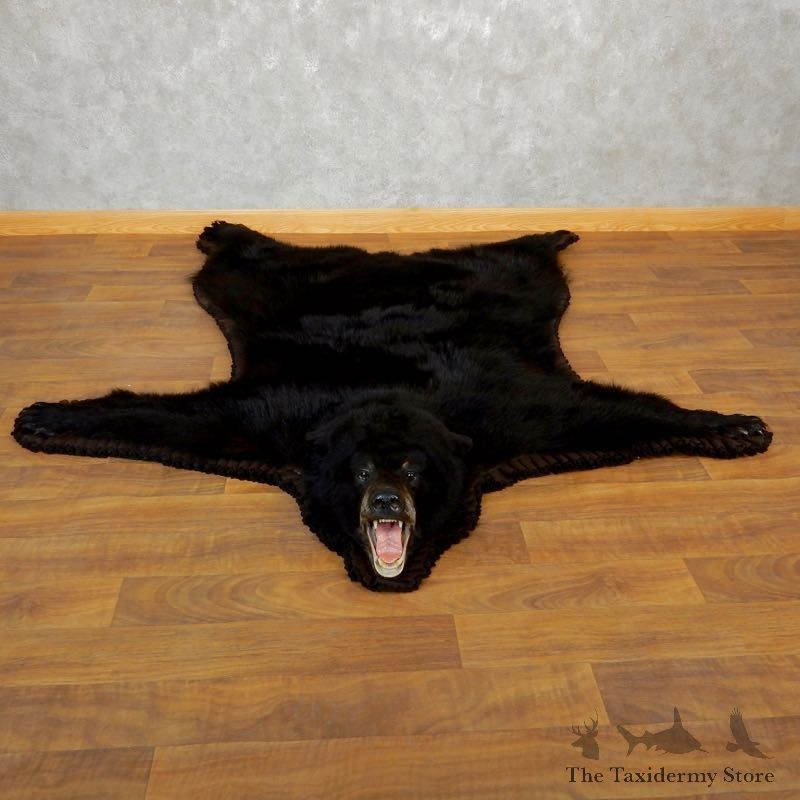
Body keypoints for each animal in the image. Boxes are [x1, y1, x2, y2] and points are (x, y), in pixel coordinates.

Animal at [12, 221, 772, 591]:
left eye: (411, 469)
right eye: (356, 472)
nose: (383, 501)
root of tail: (389, 259)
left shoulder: (511, 413)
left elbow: (610, 410)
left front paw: (734, 425)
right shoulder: (275, 419)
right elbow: (173, 417)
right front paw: (44, 417)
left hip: (512, 284)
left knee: (519, 255)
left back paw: (552, 233)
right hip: (262, 287)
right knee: (247, 257)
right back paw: (224, 228)